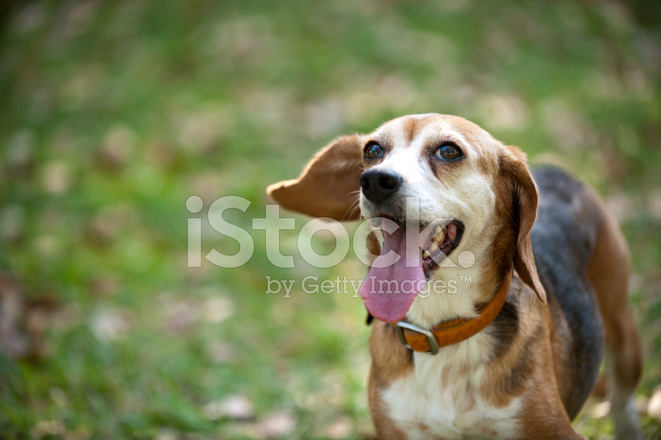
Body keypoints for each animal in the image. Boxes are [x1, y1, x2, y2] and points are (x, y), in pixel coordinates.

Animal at [266, 115, 640, 438]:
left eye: (448, 151)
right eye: (372, 150)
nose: (375, 181)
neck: (441, 331)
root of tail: (556, 170)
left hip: (623, 334)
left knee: (622, 399)